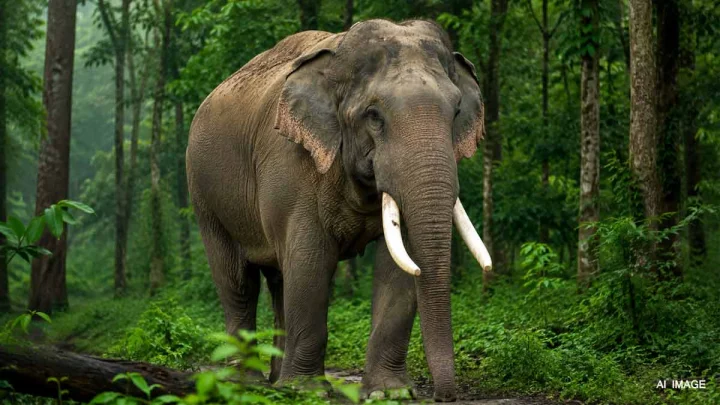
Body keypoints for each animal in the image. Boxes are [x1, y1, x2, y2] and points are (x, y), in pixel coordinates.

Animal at [186, 19, 492, 402]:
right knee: (238, 282)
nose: (443, 396)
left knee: (279, 280)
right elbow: (310, 261)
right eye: (374, 116)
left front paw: (388, 393)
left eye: (456, 113)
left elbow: (399, 266)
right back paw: (248, 384)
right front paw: (306, 391)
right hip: (204, 195)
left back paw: (274, 380)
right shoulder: (290, 164)